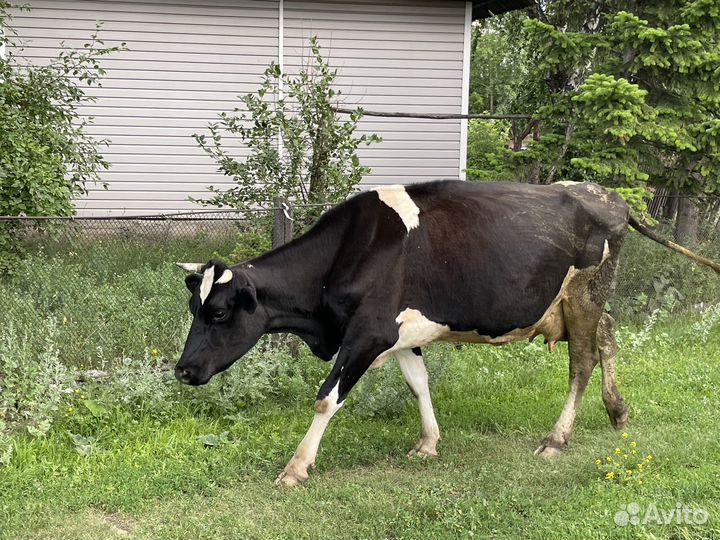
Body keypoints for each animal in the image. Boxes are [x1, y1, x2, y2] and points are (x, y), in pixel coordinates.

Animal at [174, 180, 720, 486]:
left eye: (218, 313)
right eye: (193, 305)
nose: (182, 370)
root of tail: (609, 195)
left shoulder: (367, 334)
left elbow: (327, 398)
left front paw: (296, 468)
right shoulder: (401, 334)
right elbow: (419, 384)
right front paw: (429, 443)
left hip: (586, 291)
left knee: (582, 360)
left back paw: (557, 438)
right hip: (573, 304)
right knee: (607, 334)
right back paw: (617, 411)